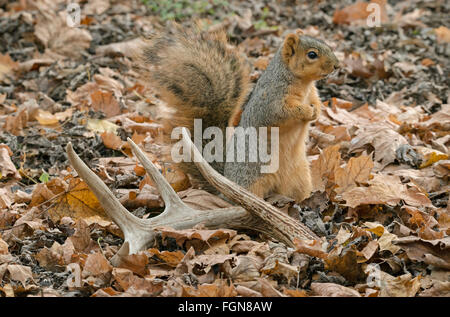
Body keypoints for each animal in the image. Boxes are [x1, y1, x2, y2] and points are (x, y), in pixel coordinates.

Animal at [141, 23, 338, 201]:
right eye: (312, 54)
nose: (336, 66)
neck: (303, 84)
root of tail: (226, 184)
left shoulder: (312, 93)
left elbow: (316, 102)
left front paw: (316, 111)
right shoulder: (270, 100)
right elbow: (282, 113)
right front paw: (306, 111)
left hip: (301, 177)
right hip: (250, 179)